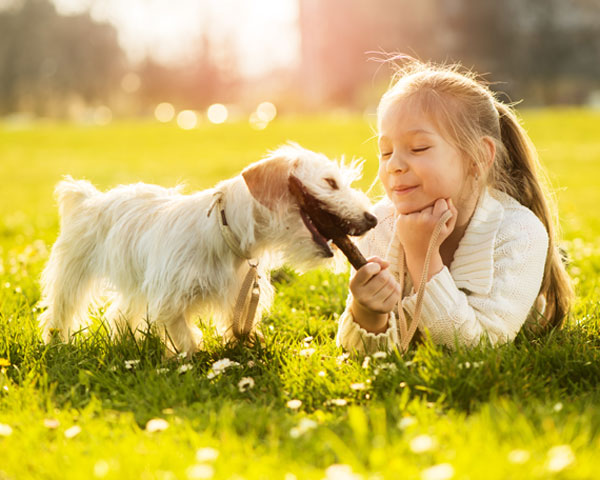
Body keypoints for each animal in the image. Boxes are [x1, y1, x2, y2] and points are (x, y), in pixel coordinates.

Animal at [37, 144, 378, 354]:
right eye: (330, 182)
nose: (373, 219)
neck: (224, 231)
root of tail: (90, 198)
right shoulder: (170, 299)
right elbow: (184, 336)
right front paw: (193, 358)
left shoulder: (238, 296)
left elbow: (237, 328)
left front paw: (246, 348)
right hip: (72, 275)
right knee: (60, 311)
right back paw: (56, 344)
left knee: (119, 313)